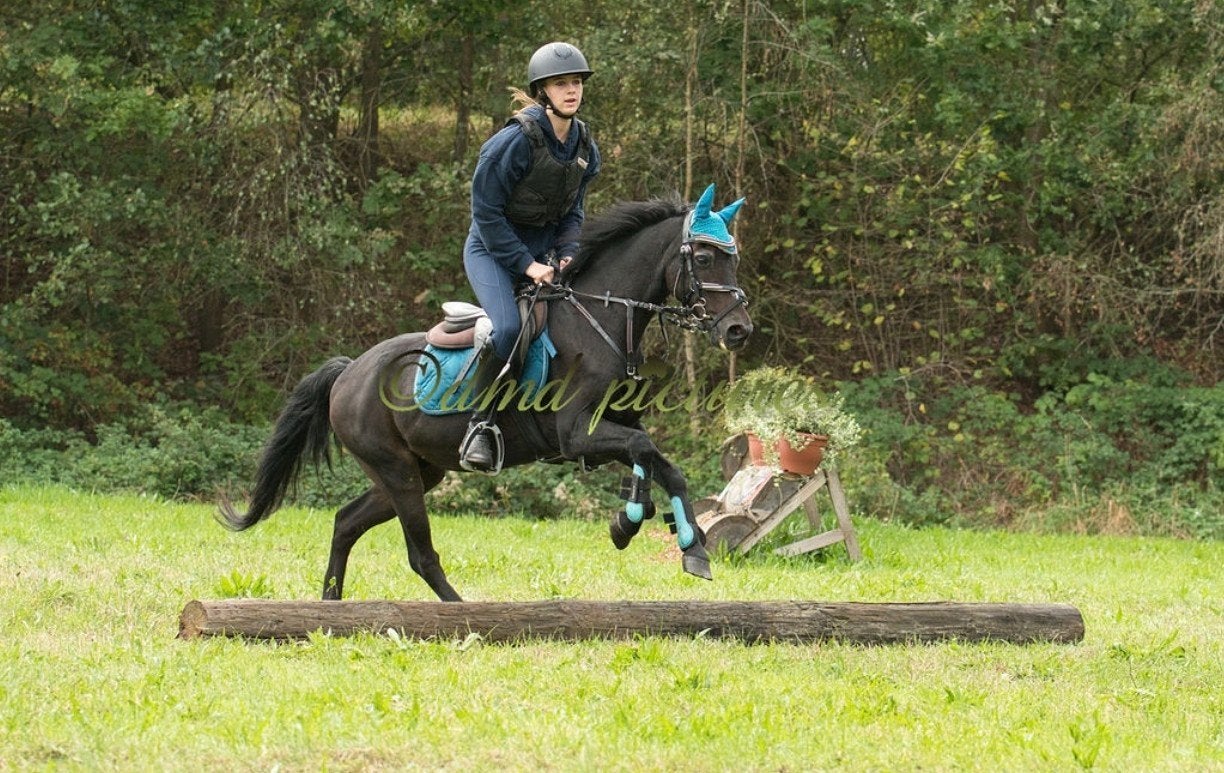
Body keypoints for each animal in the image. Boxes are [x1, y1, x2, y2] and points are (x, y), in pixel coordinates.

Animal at [217, 184, 753, 601]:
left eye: (733, 258)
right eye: (704, 258)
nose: (738, 330)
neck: (598, 319)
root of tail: (350, 372)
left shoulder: (612, 427)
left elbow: (659, 462)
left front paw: (675, 539)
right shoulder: (575, 435)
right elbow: (647, 453)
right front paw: (644, 527)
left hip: (418, 471)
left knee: (346, 521)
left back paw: (331, 604)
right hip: (397, 471)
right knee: (420, 554)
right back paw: (460, 610)